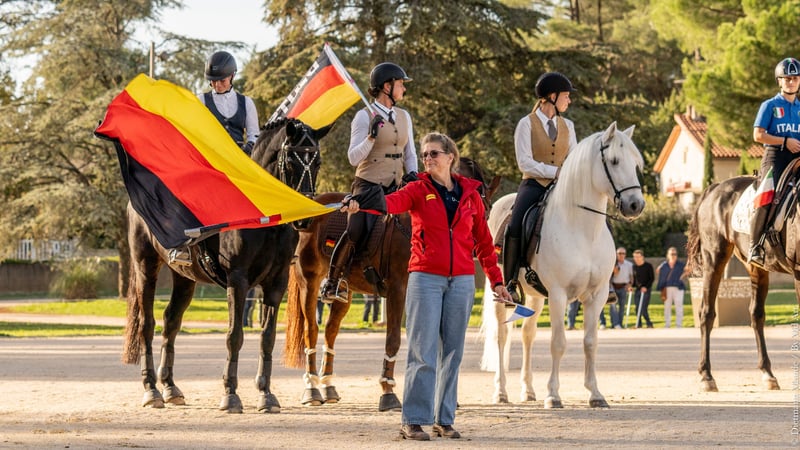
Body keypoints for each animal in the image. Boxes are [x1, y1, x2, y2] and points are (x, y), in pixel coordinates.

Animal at [122, 118, 329, 413]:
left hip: (185, 279)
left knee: (171, 321)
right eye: (290, 161)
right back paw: (151, 390)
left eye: (318, 162)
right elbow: (234, 335)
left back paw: (170, 387)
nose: (305, 219)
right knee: (146, 325)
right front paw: (230, 393)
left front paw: (266, 394)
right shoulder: (238, 280)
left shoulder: (275, 283)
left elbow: (267, 337)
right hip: (145, 268)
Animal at [480, 122, 644, 407]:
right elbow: (558, 343)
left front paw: (595, 394)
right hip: (501, 294)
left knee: (528, 335)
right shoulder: (558, 294)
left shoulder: (597, 295)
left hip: (534, 297)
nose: (636, 204)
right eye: (614, 161)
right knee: (501, 336)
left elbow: (590, 342)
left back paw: (528, 390)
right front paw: (553, 395)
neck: (582, 229)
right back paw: (501, 392)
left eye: (635, 163)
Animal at [686, 174, 792, 392]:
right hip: (714, 258)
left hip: (756, 267)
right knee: (707, 313)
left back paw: (767, 373)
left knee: (756, 314)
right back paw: (706, 375)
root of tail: (716, 187)